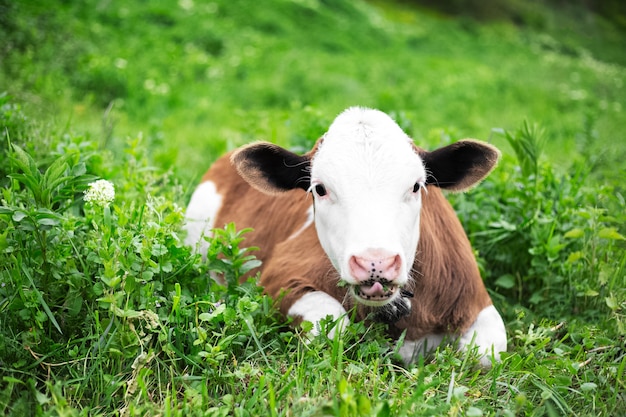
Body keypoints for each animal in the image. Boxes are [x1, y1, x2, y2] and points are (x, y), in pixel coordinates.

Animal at [183, 106, 504, 364]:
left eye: (416, 186)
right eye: (320, 189)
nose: (376, 263)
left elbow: (487, 355)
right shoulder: (277, 277)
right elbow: (332, 329)